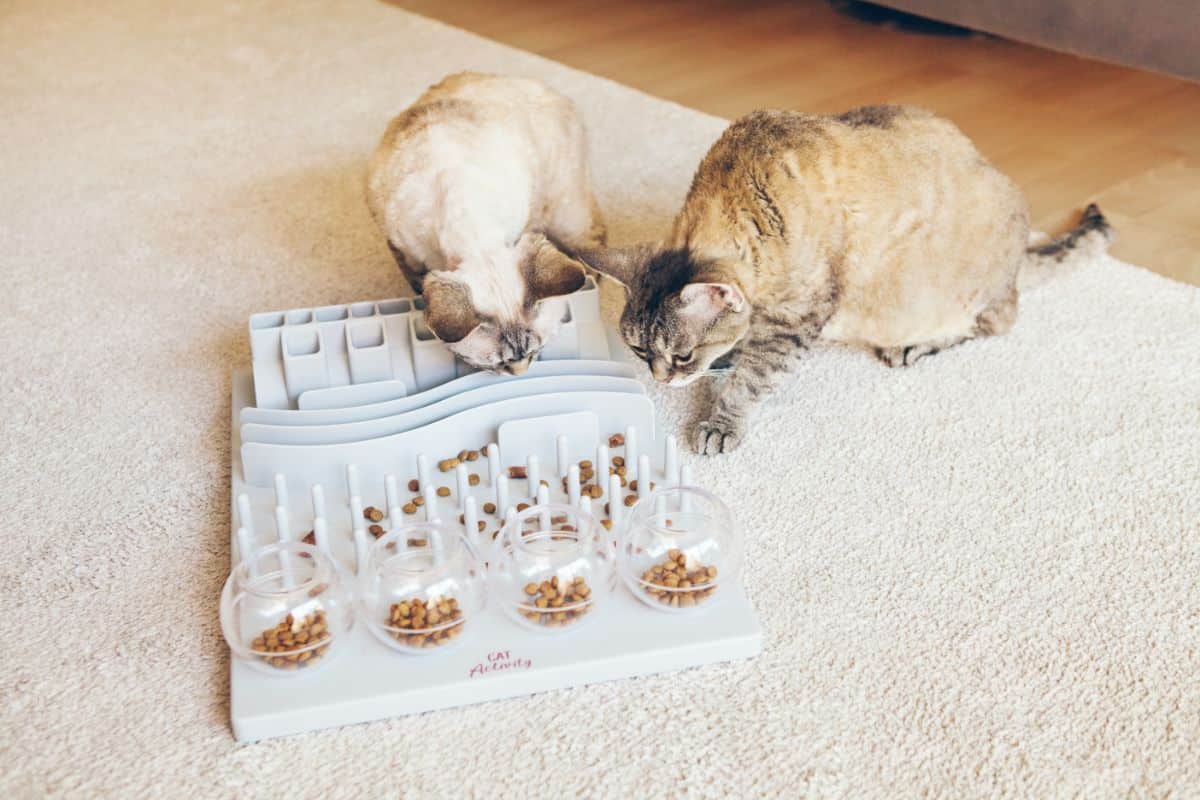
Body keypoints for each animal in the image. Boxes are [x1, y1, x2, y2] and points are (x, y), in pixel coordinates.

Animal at [364, 73, 604, 374]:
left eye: (535, 351)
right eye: (499, 363)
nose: (520, 372)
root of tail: (550, 89)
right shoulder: (403, 251)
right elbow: (418, 285)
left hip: (563, 215)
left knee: (595, 239)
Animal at [576, 106, 1108, 453]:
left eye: (682, 355)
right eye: (638, 350)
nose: (660, 378)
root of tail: (1019, 258)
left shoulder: (796, 320)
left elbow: (751, 381)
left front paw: (722, 419)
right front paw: (727, 360)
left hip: (952, 298)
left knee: (995, 322)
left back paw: (916, 345)